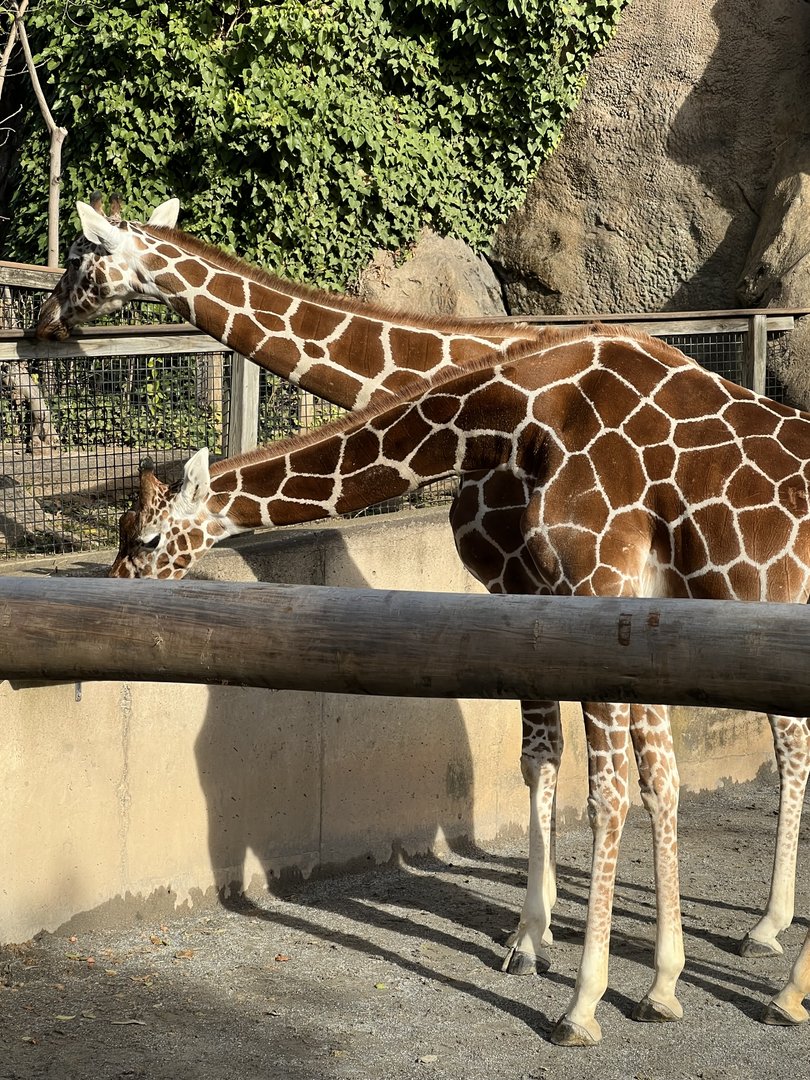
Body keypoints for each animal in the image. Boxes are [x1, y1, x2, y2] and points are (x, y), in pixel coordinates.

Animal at [108, 325, 810, 1044]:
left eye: (147, 538)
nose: (109, 591)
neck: (523, 413)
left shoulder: (597, 591)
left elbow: (607, 794)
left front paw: (581, 1002)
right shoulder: (626, 614)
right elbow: (651, 777)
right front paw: (660, 983)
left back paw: (782, 983)